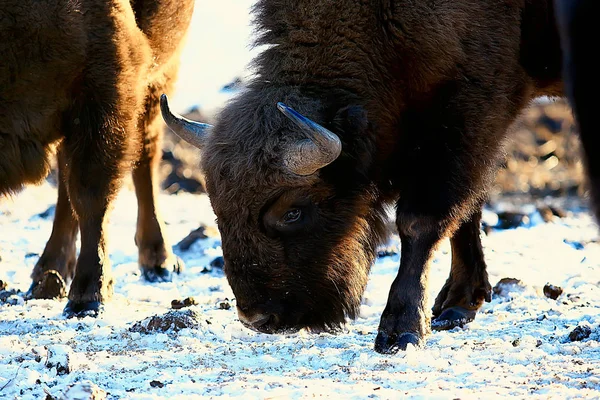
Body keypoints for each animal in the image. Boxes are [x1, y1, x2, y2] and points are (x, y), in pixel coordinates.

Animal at [0, 0, 193, 318]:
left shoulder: (106, 95)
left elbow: (90, 197)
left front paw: (88, 296)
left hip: (158, 78)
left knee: (146, 155)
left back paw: (159, 260)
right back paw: (49, 270)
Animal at [161, 0, 584, 354]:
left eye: (293, 212)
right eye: (218, 210)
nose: (258, 319)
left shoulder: (472, 116)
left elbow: (420, 221)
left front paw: (400, 331)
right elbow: (468, 212)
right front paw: (457, 306)